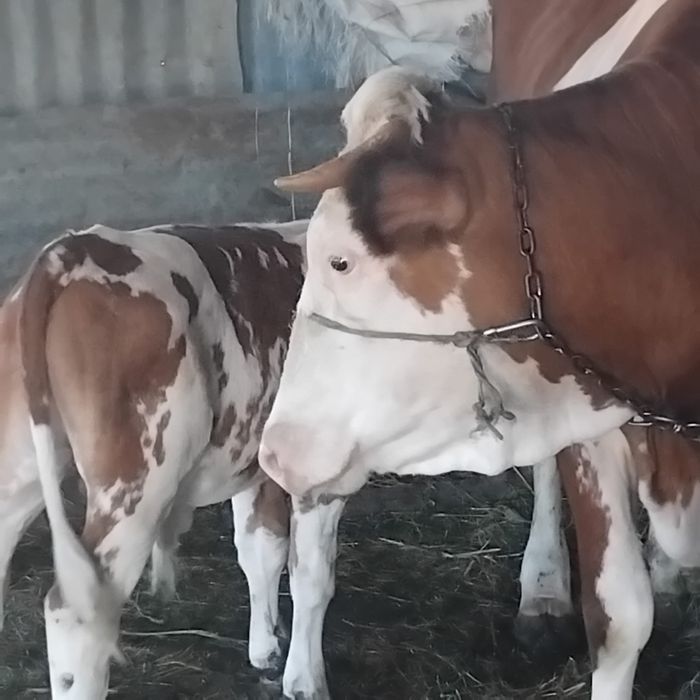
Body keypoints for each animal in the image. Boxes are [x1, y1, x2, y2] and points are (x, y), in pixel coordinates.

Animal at [0, 221, 343, 699]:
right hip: (136, 487)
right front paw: (306, 682)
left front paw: (266, 649)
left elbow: (260, 549)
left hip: (18, 470)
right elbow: (311, 576)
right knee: (74, 614)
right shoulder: (325, 470)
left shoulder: (255, 462)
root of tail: (67, 252)